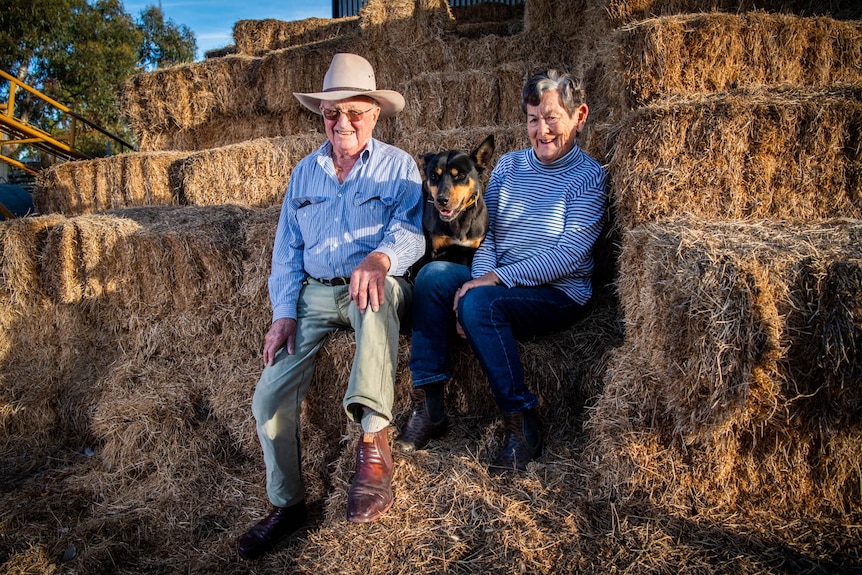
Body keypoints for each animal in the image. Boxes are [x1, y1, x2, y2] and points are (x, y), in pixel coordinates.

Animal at [420, 135, 496, 268]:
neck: (458, 219)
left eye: (460, 175)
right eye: (433, 176)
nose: (442, 200)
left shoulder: (471, 249)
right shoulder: (433, 249)